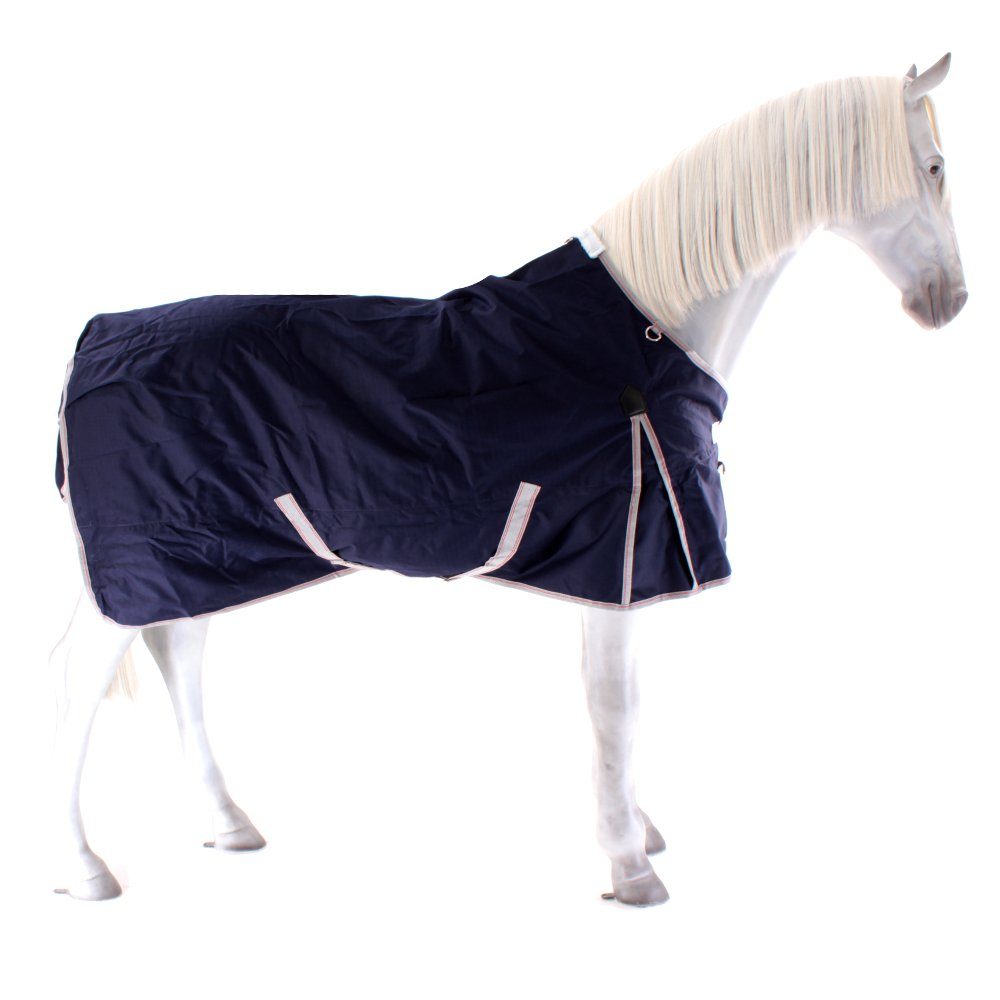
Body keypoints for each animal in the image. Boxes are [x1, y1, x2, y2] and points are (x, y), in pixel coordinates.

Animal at [50, 54, 967, 905]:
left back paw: (227, 823)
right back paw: (85, 869)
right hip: (145, 563)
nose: (950, 302)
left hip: (204, 556)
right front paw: (630, 866)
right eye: (933, 167)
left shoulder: (613, 572)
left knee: (179, 658)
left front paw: (633, 830)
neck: (645, 333)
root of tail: (94, 342)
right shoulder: (622, 556)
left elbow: (617, 702)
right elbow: (615, 706)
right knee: (79, 688)